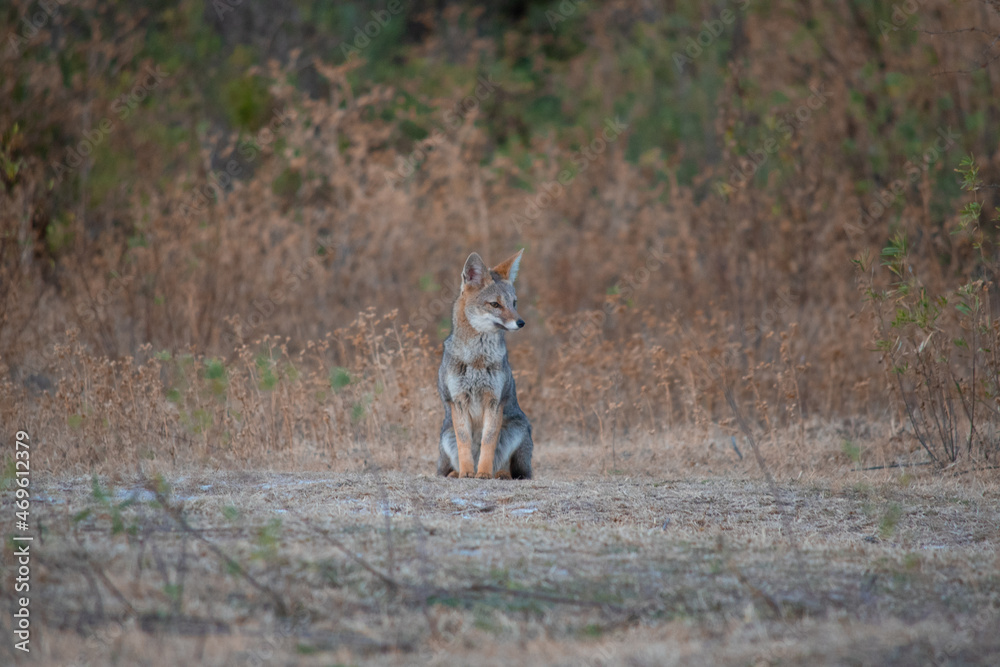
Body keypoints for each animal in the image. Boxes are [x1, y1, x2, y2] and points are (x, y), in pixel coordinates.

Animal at [437, 249, 534, 479]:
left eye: (514, 303)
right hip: (446, 435)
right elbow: (465, 442)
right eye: (495, 304)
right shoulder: (458, 400)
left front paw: (483, 472)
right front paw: (467, 472)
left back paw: (500, 473)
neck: (477, 360)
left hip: (517, 430)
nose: (521, 323)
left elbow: (487, 442)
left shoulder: (494, 400)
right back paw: (455, 473)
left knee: (514, 471)